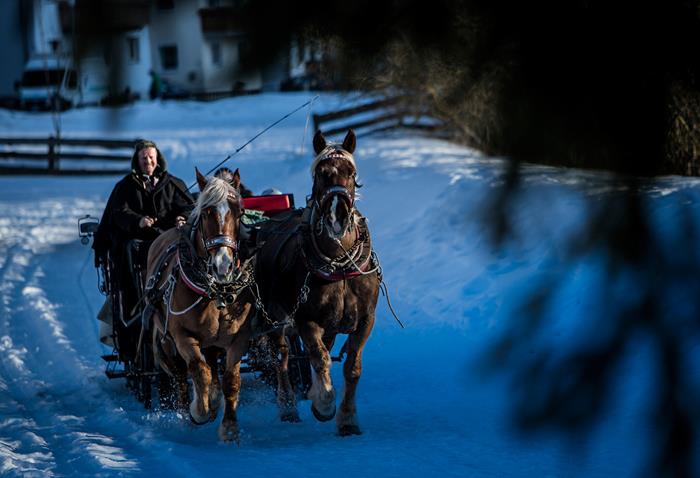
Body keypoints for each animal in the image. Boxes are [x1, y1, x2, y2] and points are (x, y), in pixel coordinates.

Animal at [144, 168, 253, 440]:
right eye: (206, 213)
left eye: (239, 212)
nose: (223, 264)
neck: (214, 292)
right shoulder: (182, 335)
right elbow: (199, 371)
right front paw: (200, 410)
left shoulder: (240, 337)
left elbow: (230, 380)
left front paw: (229, 427)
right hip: (166, 341)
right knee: (182, 375)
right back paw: (188, 414)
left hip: (212, 342)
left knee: (211, 363)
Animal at [256, 129, 380, 436]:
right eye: (321, 174)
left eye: (351, 172)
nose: (338, 215)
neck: (340, 264)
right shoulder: (306, 320)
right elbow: (319, 357)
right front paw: (323, 403)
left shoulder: (365, 320)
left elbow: (352, 367)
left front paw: (347, 419)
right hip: (274, 317)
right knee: (282, 357)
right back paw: (288, 406)